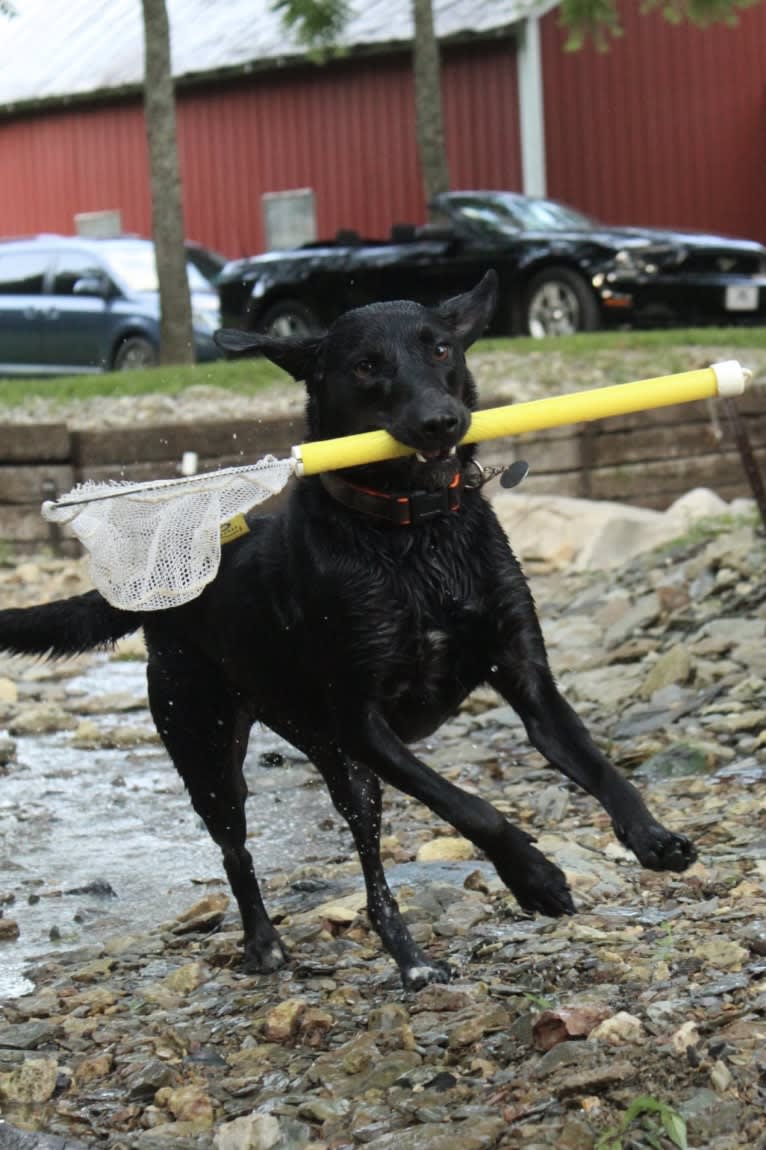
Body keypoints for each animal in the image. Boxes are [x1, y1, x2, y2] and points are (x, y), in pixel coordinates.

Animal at [0, 276, 694, 989]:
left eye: (441, 348)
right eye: (366, 366)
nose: (441, 421)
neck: (415, 534)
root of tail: (160, 582)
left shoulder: (526, 679)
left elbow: (596, 762)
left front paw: (650, 835)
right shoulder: (365, 724)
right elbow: (466, 805)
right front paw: (534, 876)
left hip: (334, 761)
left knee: (368, 864)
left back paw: (409, 957)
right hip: (210, 746)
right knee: (236, 848)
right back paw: (266, 943)